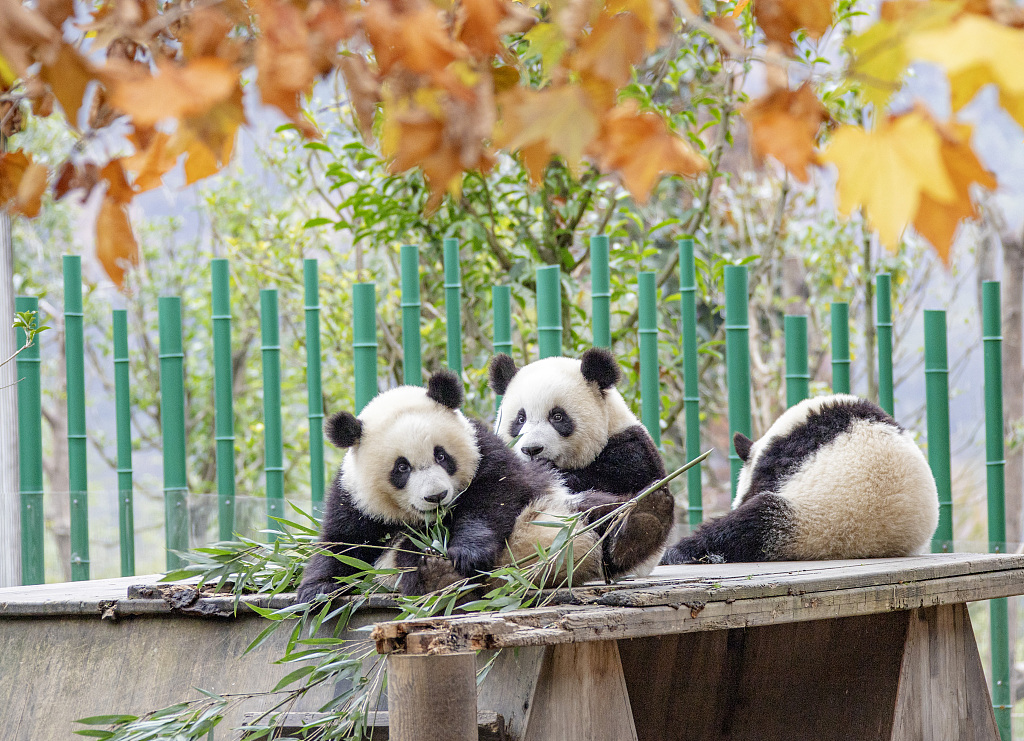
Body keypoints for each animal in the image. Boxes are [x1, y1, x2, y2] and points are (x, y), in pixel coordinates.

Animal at [296, 369, 628, 602]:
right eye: (401, 468)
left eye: (442, 455)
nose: (436, 496)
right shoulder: (354, 498)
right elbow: (343, 542)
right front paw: (316, 590)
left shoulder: (486, 452)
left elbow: (494, 499)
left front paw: (468, 553)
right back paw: (434, 571)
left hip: (561, 506)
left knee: (598, 510)